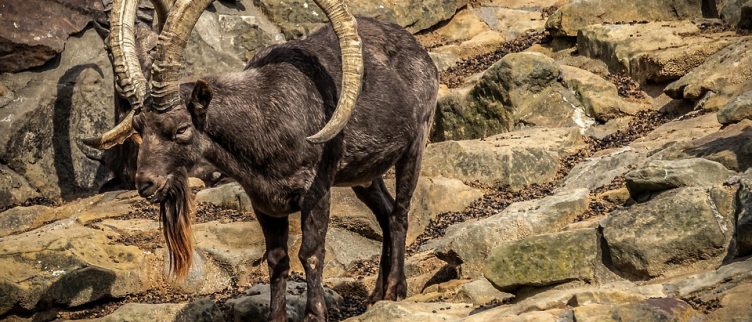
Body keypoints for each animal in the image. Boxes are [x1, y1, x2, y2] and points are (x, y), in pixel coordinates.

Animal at [86, 0, 440, 320]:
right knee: (385, 213)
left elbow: (311, 254)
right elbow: (277, 260)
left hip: (415, 144)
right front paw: (277, 316)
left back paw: (395, 290)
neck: (264, 120)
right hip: (364, 177)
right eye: (138, 126)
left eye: (181, 128)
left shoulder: (317, 193)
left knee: (400, 214)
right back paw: (378, 294)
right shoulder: (265, 204)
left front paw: (315, 315)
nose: (146, 183)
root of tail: (418, 50)